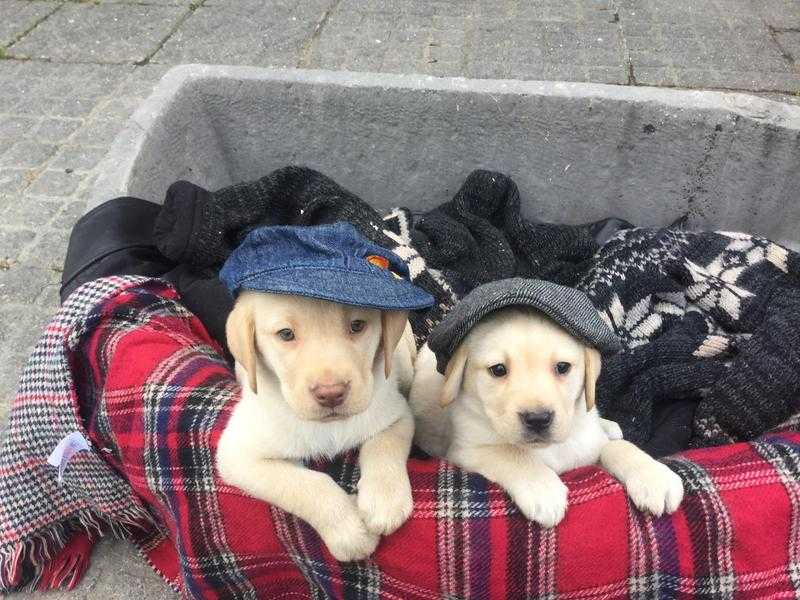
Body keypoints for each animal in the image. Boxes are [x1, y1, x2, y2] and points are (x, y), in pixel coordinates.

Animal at [216, 221, 434, 564]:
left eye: (357, 326)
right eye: (286, 334)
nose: (331, 393)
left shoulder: (397, 414)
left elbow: (383, 444)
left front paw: (384, 500)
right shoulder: (238, 455)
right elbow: (304, 484)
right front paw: (350, 531)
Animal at [412, 278, 680, 528]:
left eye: (562, 367)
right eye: (498, 370)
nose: (538, 419)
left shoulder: (586, 447)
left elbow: (617, 448)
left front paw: (654, 476)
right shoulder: (465, 450)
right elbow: (510, 453)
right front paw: (543, 488)